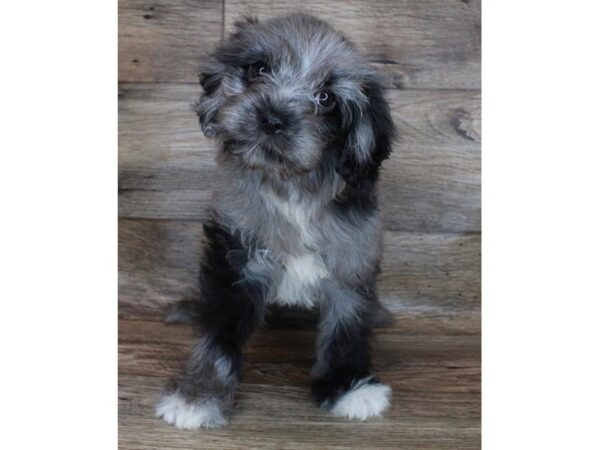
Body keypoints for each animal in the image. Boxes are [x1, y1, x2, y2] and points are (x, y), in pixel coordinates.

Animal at [157, 13, 396, 428]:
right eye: (259, 69)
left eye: (326, 98)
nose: (272, 119)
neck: (290, 185)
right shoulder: (236, 254)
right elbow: (218, 334)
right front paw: (198, 396)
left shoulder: (351, 257)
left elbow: (346, 326)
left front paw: (347, 386)